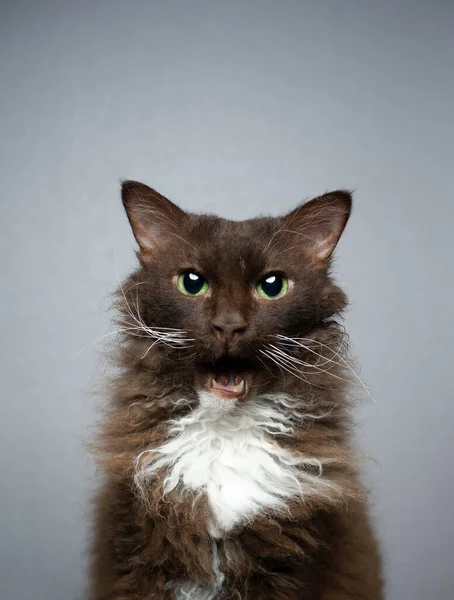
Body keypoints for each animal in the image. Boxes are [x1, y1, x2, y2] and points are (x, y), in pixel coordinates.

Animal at [91, 182, 384, 600]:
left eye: (272, 286)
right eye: (192, 283)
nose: (228, 325)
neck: (222, 436)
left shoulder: (288, 563)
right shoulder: (137, 554)